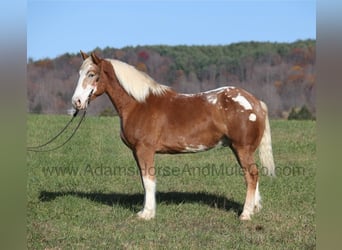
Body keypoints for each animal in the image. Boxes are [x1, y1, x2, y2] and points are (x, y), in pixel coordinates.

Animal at [71, 51, 276, 221]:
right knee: (253, 176)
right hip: (240, 149)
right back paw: (255, 208)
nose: (77, 102)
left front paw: (147, 214)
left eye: (91, 74)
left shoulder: (144, 150)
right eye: (79, 74)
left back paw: (245, 214)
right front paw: (145, 211)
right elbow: (144, 180)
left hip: (242, 148)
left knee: (251, 175)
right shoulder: (137, 152)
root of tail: (255, 102)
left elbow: (148, 180)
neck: (138, 104)